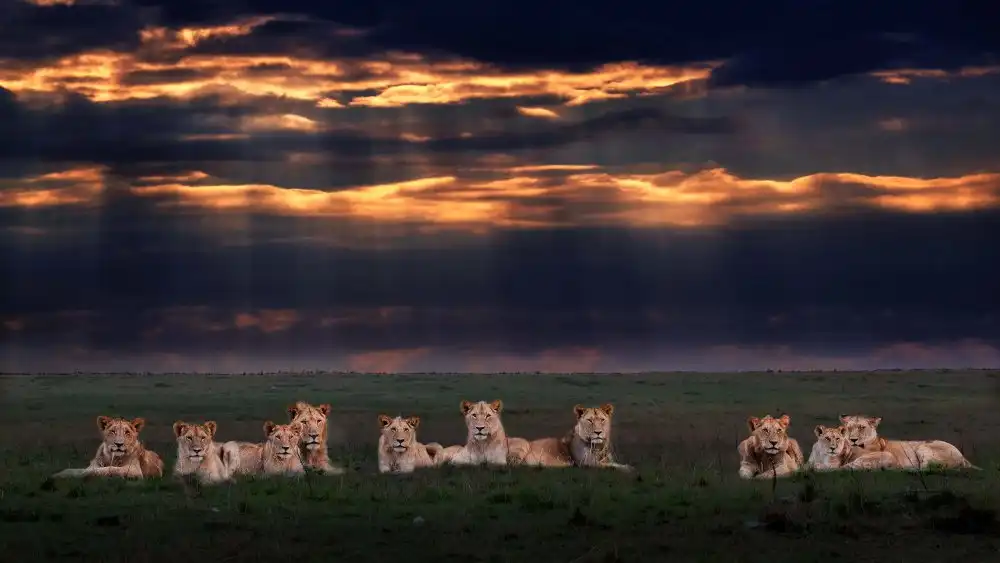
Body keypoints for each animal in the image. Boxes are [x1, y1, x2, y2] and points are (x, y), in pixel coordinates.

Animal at [838, 414, 980, 471]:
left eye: (862, 427)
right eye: (849, 428)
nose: (853, 440)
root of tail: (963, 457)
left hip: (923, 446)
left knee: (927, 468)